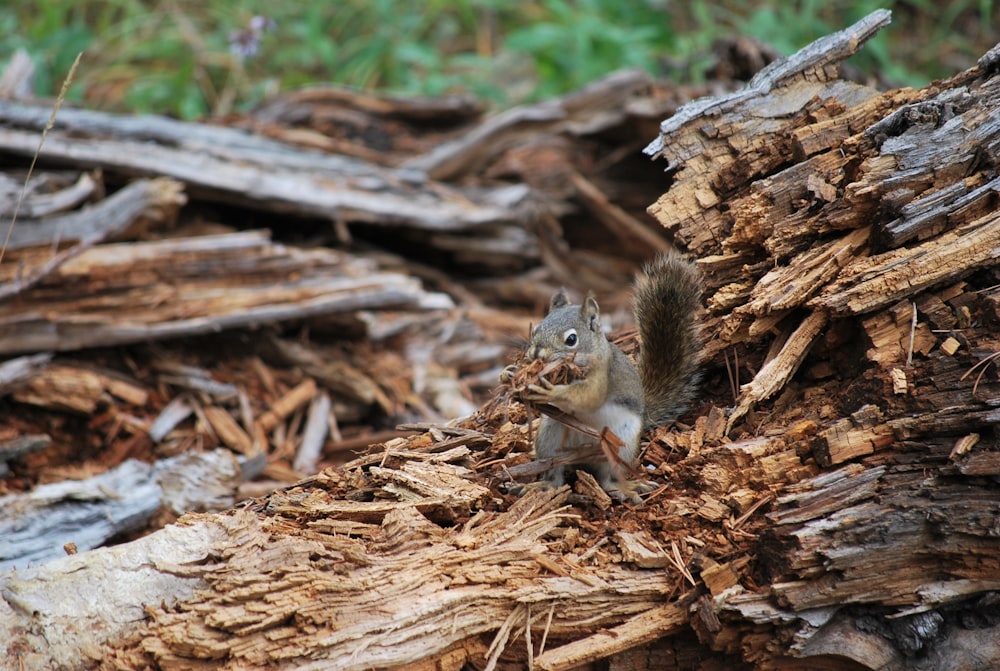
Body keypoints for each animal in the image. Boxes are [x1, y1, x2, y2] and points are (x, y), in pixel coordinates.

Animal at [508, 252, 704, 504]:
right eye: (536, 330)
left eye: (571, 339)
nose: (537, 354)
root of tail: (581, 458)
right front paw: (509, 373)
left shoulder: (603, 374)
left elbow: (589, 397)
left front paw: (552, 391)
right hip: (549, 438)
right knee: (556, 476)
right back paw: (541, 485)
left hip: (621, 444)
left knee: (607, 478)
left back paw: (625, 489)